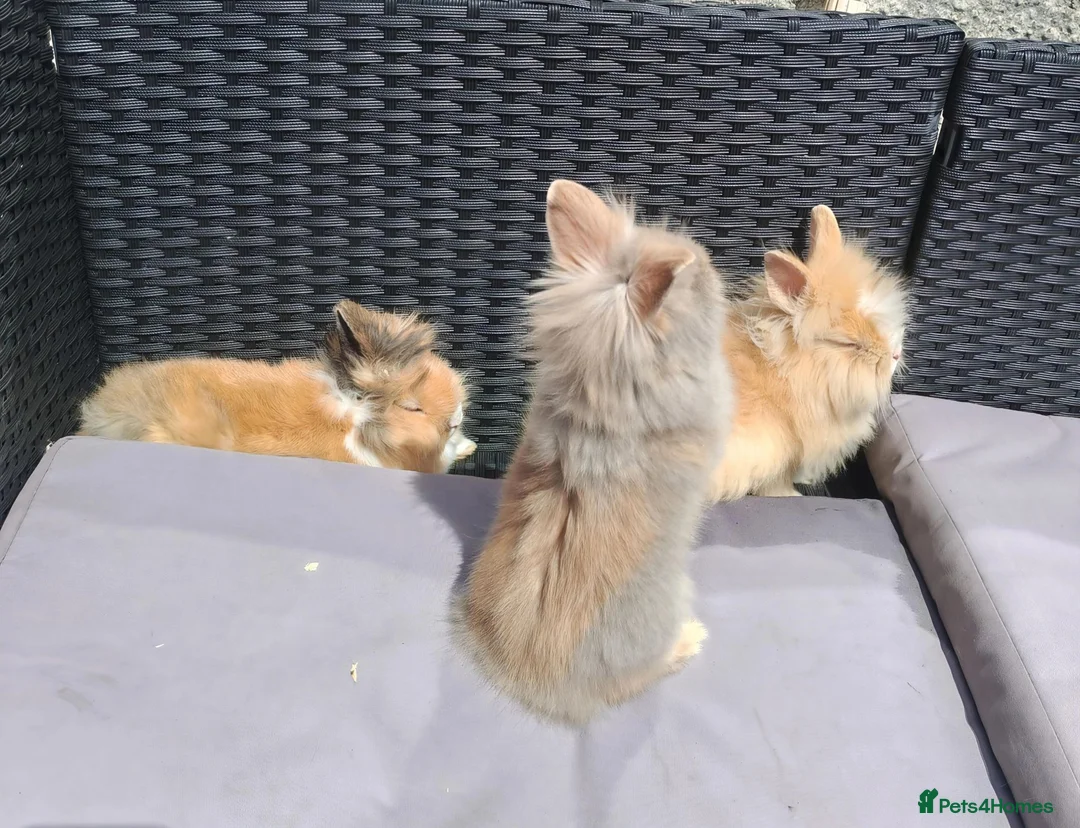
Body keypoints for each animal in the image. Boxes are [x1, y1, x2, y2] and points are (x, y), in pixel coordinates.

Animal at [708, 204, 909, 500]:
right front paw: (793, 496)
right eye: (849, 344)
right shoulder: (776, 452)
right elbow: (775, 483)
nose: (895, 355)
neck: (783, 376)